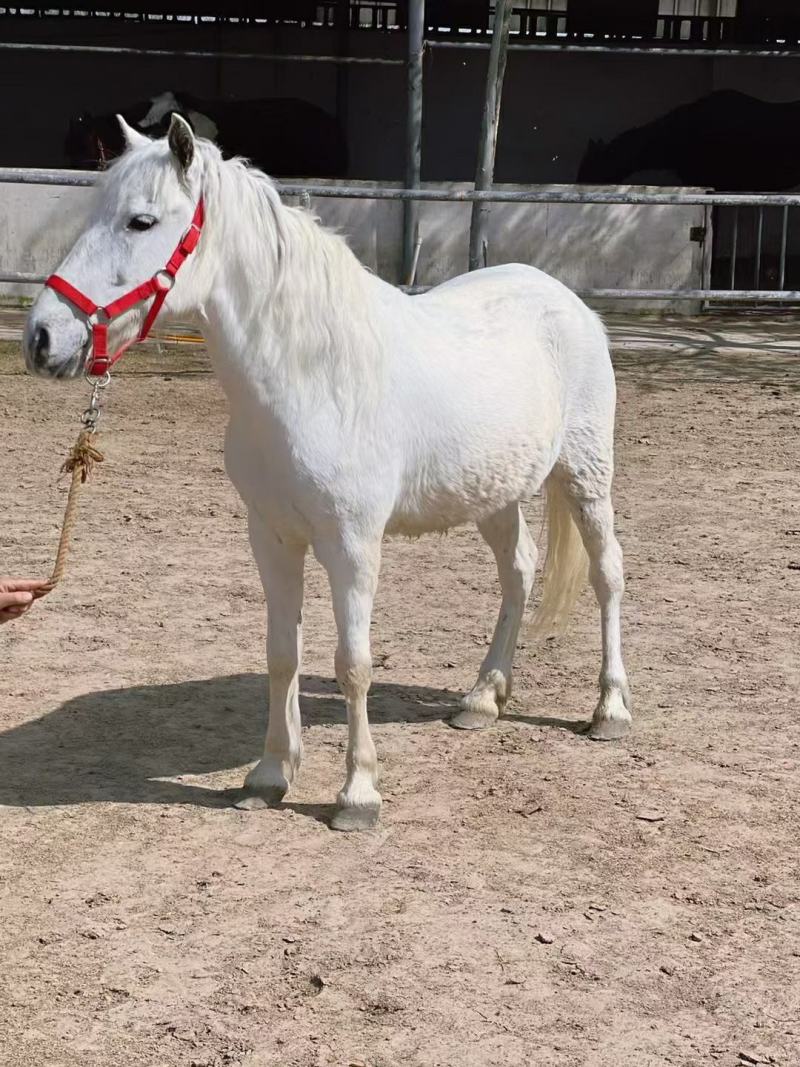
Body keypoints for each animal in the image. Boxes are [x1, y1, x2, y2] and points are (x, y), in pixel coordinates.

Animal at [25, 118, 631, 832]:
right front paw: (268, 775)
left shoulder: (351, 543)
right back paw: (482, 699)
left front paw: (357, 794)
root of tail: (564, 298)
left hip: (586, 476)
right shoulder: (272, 538)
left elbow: (353, 664)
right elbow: (282, 653)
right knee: (519, 571)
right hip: (494, 494)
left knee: (607, 574)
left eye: (141, 221)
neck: (311, 378)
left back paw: (610, 709)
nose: (41, 338)